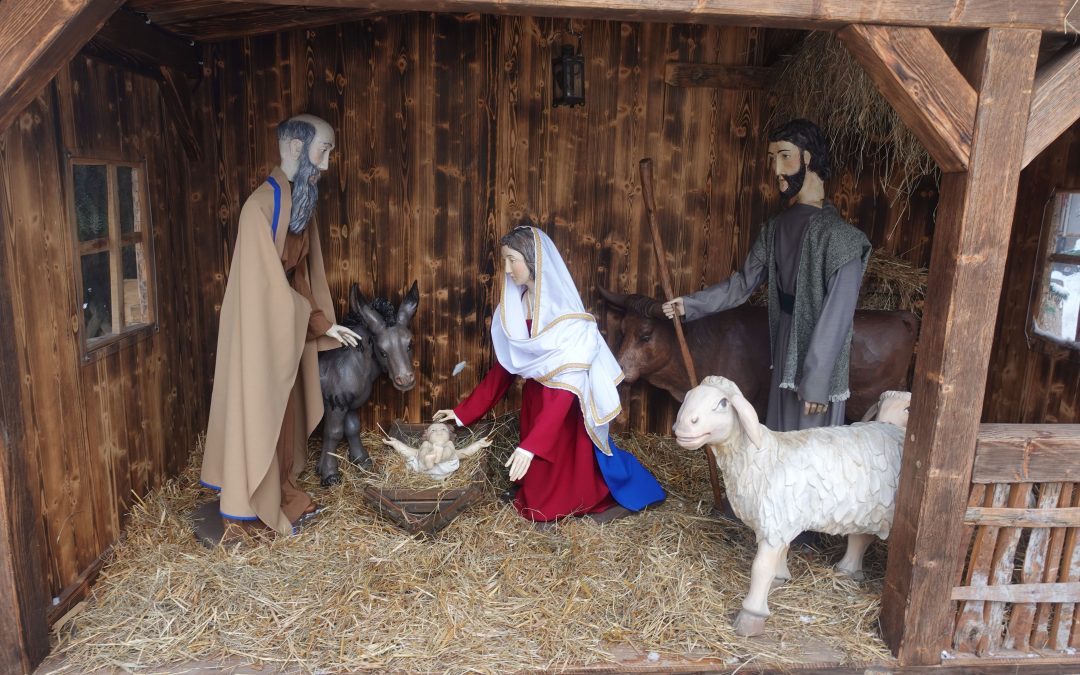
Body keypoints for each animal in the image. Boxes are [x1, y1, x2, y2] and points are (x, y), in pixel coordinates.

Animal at [673, 375, 911, 635]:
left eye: (723, 403)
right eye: (689, 396)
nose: (684, 425)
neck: (759, 457)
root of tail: (894, 428)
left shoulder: (776, 518)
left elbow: (760, 568)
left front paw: (751, 616)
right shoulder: (782, 518)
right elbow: (782, 552)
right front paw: (779, 578)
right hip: (867, 507)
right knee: (861, 537)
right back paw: (847, 570)